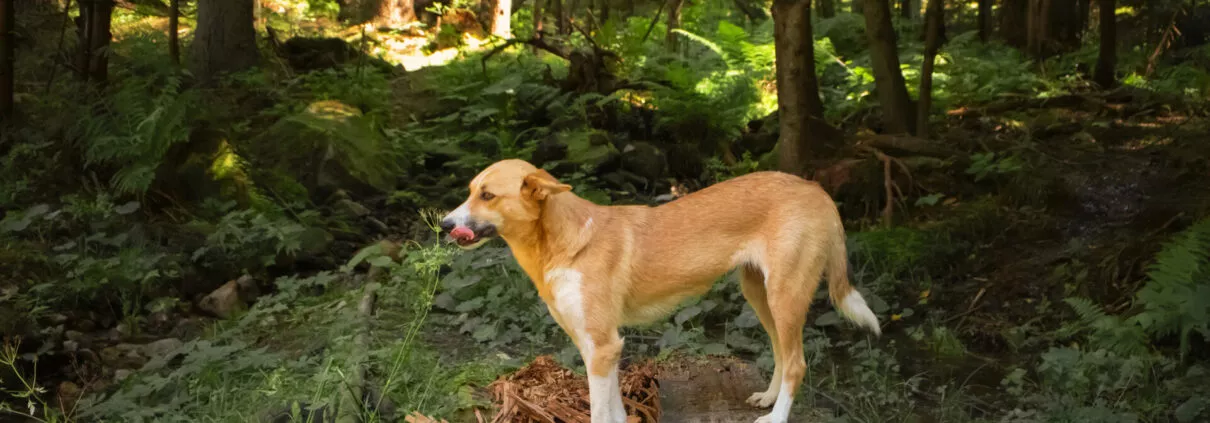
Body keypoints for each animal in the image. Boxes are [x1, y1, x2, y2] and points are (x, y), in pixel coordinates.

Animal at [440, 159, 876, 423]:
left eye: (488, 195)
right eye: (470, 191)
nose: (444, 224)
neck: (562, 244)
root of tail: (814, 187)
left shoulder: (603, 348)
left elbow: (600, 413)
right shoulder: (595, 348)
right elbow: (614, 410)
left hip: (785, 296)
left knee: (798, 363)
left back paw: (776, 417)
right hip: (761, 296)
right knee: (783, 355)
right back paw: (768, 399)